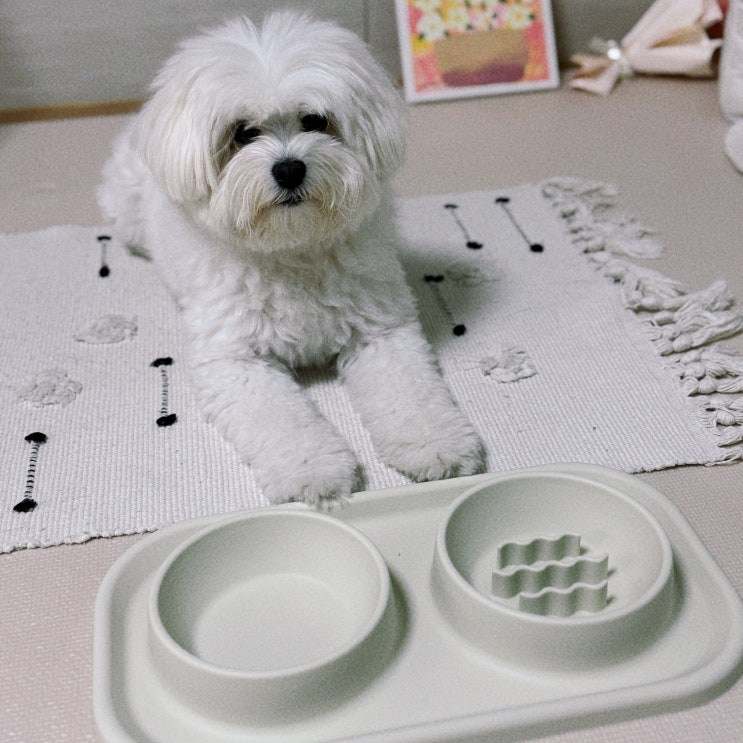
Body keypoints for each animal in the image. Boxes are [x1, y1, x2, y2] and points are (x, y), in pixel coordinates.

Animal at [98, 11, 485, 507]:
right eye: (243, 133)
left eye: (315, 120)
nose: (289, 168)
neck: (291, 248)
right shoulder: (236, 361)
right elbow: (283, 422)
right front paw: (315, 473)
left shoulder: (381, 332)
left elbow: (411, 394)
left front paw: (438, 444)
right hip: (125, 212)